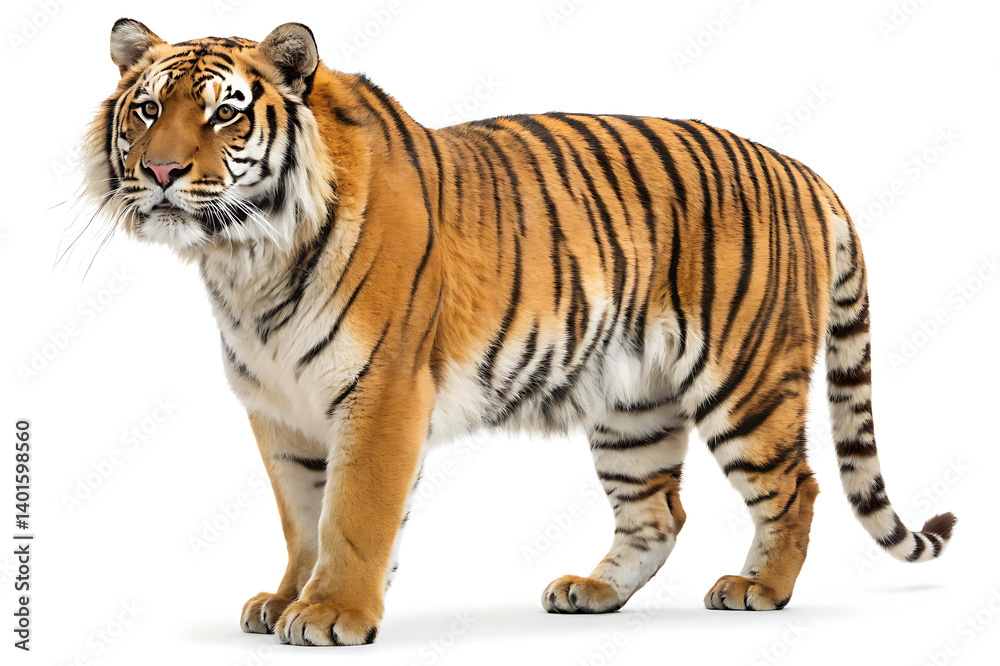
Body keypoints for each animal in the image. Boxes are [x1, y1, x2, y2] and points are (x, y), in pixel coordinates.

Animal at [81, 18, 957, 646]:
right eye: (149, 109)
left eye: (225, 113)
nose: (160, 172)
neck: (245, 258)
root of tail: (805, 170)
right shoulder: (279, 408)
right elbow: (302, 514)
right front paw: (289, 596)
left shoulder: (382, 391)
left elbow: (354, 512)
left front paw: (332, 614)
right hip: (633, 407)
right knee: (658, 513)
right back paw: (592, 593)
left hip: (746, 380)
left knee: (796, 488)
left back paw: (757, 590)